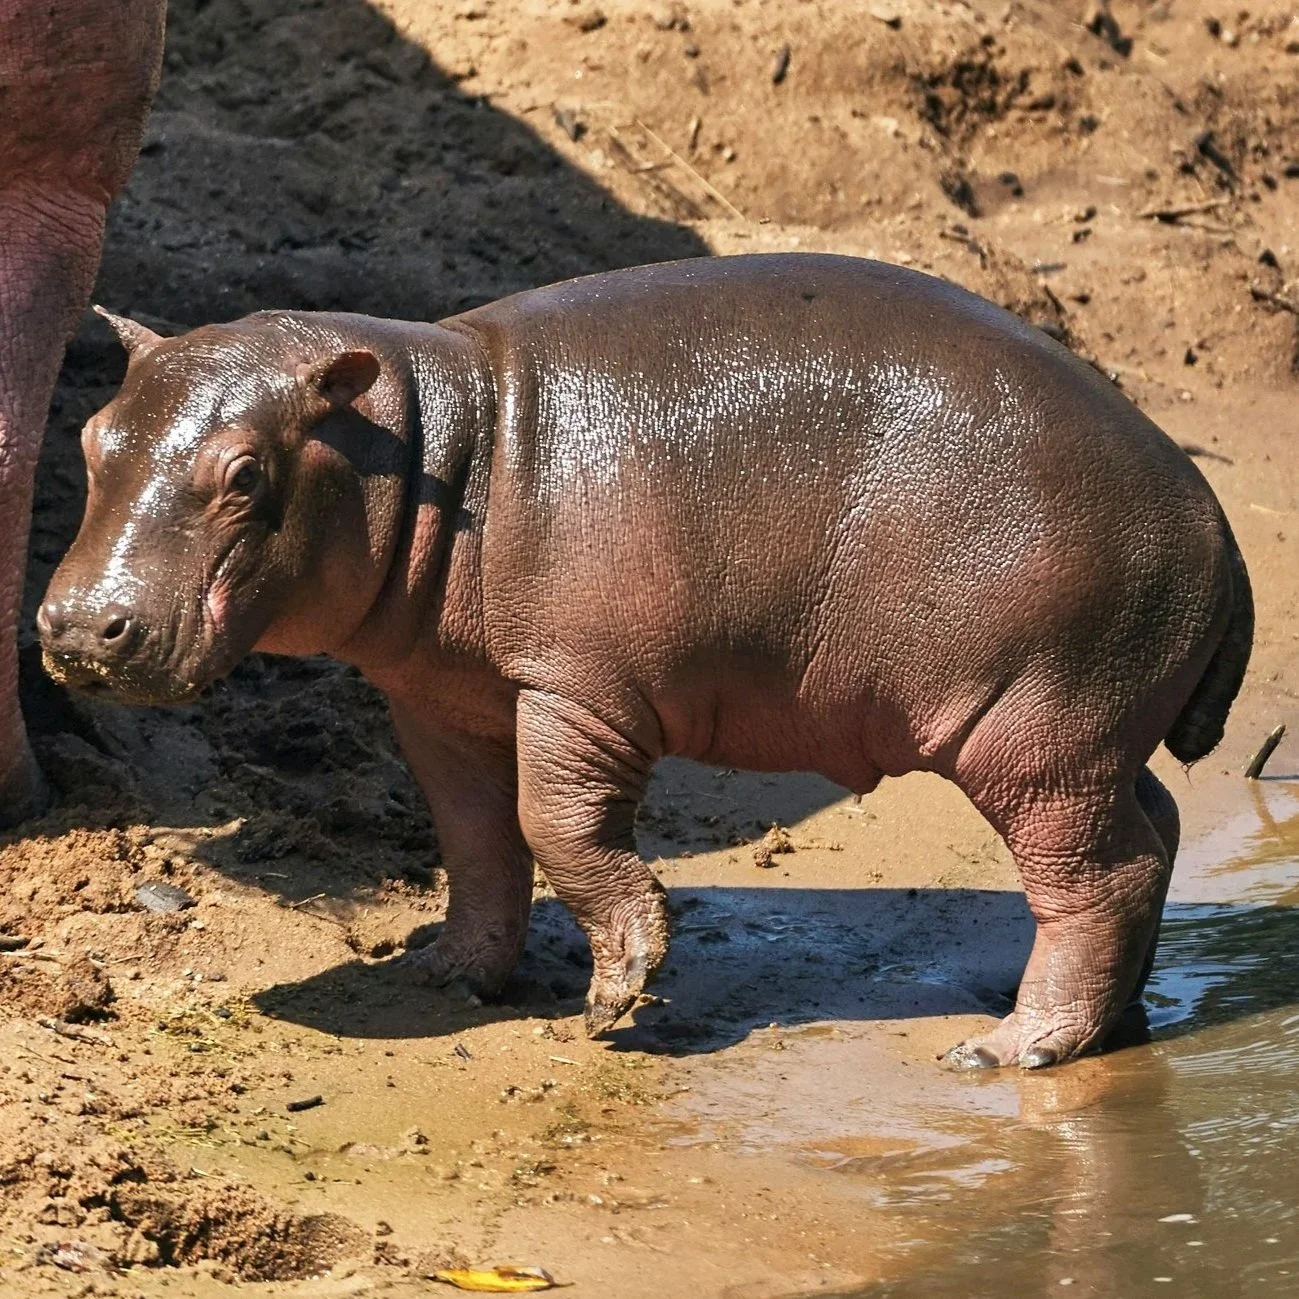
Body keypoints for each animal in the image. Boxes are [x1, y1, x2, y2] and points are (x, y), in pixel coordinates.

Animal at [38, 254, 1252, 1068]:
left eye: (244, 473)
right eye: (92, 435)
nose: (76, 627)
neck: (440, 441)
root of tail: (1216, 523)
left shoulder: (574, 689)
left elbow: (557, 826)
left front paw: (614, 995)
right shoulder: (440, 699)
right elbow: (474, 839)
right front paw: (447, 973)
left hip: (1033, 729)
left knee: (1101, 874)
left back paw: (1009, 1048)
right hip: (1084, 733)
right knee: (1155, 829)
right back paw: (1106, 1019)